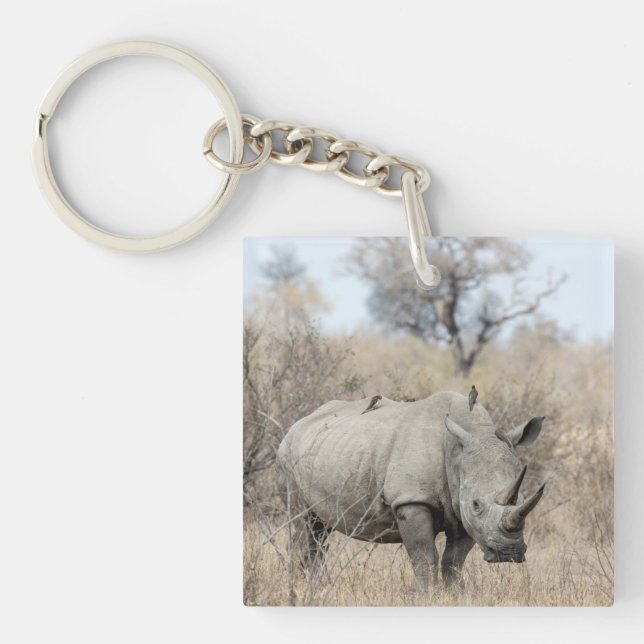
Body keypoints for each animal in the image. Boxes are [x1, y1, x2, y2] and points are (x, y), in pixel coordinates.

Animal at [277, 391, 546, 588]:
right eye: (477, 504)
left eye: (523, 497)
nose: (508, 554)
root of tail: (298, 423)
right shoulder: (411, 500)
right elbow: (424, 555)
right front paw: (427, 593)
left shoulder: (461, 509)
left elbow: (453, 561)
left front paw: (454, 593)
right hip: (288, 457)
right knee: (305, 523)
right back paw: (304, 587)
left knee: (320, 529)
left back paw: (317, 587)